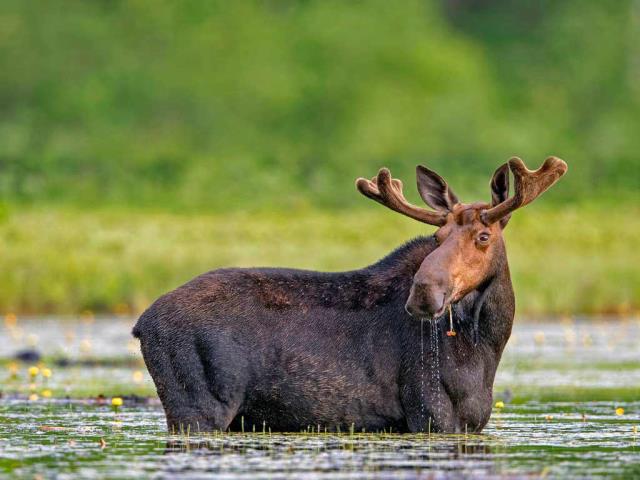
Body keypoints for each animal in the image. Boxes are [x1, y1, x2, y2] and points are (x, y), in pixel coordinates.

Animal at [133, 156, 567, 434]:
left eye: (483, 236)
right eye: (438, 236)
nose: (424, 293)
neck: (486, 344)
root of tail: (141, 325)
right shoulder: (429, 411)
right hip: (197, 407)